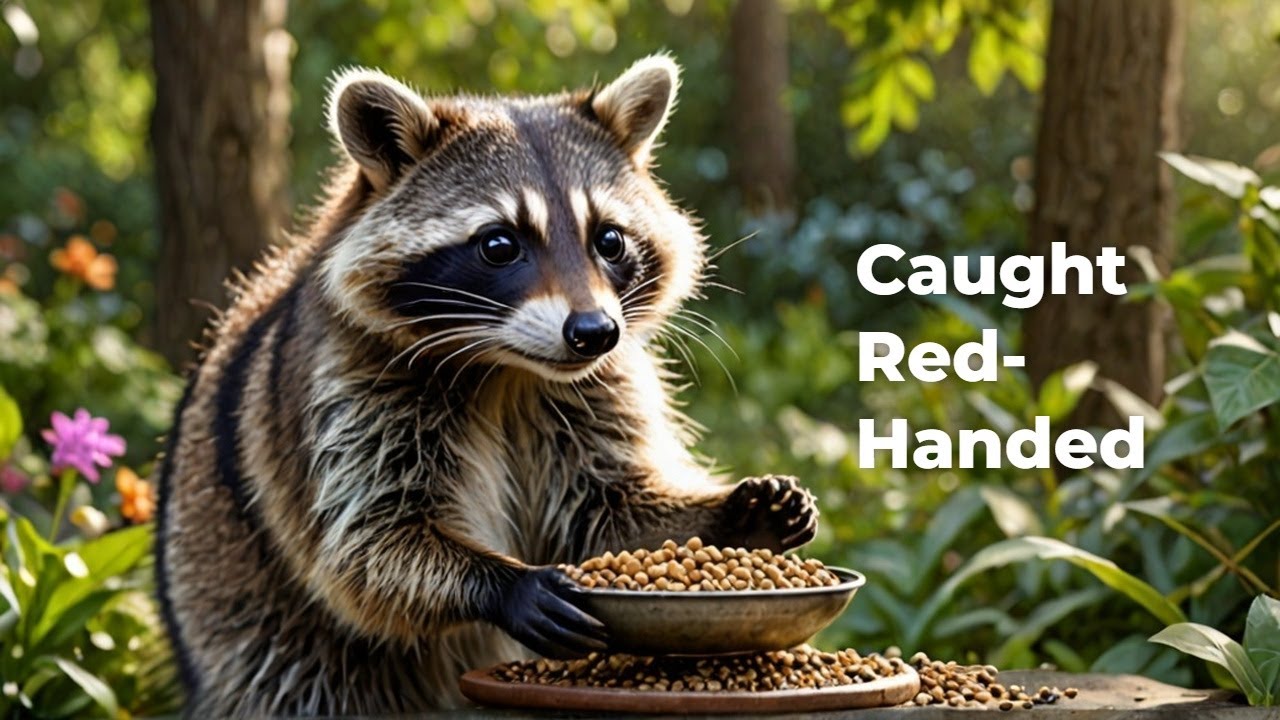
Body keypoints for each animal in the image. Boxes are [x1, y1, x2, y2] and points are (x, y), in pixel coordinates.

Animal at [155, 54, 819, 716]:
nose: (594, 333)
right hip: (246, 616)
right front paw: (502, 583)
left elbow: (607, 508)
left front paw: (738, 515)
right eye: (500, 244)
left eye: (609, 240)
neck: (510, 368)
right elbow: (365, 542)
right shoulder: (344, 386)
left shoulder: (597, 385)